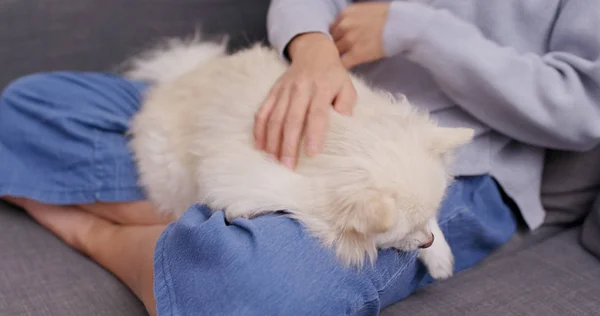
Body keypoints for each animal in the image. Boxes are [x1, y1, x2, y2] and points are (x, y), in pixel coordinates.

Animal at [125, 35, 474, 280]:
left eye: (428, 219)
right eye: (404, 232)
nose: (427, 240)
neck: (343, 138)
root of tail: (179, 74)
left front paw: (440, 255)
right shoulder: (250, 181)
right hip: (170, 171)